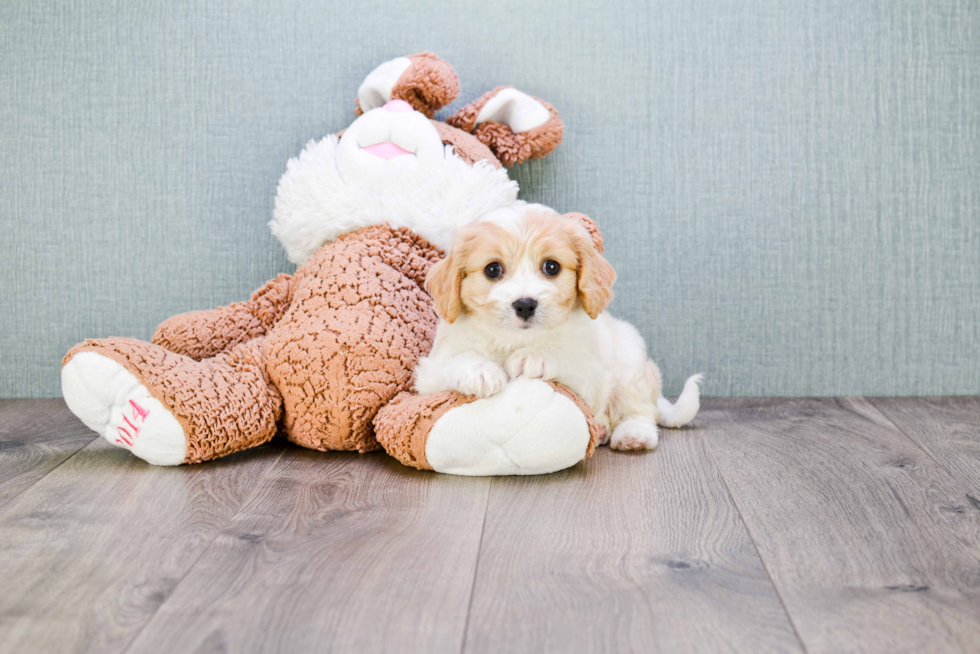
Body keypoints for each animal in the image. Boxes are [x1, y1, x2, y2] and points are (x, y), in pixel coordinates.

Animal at [416, 202, 704, 454]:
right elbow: (455, 360)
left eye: (551, 266)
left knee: (641, 410)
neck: (516, 340)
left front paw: (533, 357)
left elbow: (566, 359)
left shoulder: (589, 376)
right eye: (493, 269)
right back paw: (602, 430)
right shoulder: (429, 373)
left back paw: (634, 434)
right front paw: (480, 371)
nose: (525, 305)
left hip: (630, 362)